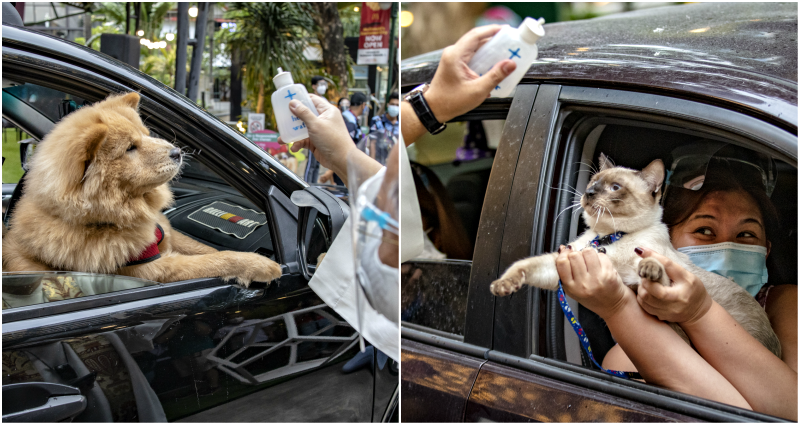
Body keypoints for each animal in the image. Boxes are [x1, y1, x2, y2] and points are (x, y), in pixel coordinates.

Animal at [2, 91, 282, 286]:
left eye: (147, 134)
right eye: (130, 148)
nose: (177, 152)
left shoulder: (167, 233)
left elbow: (206, 249)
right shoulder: (152, 268)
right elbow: (212, 261)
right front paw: (262, 265)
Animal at [488, 154, 780, 356]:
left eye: (615, 187)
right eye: (593, 183)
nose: (588, 193)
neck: (610, 237)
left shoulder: (658, 278)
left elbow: (651, 268)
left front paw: (649, 269)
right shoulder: (561, 263)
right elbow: (526, 265)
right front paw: (502, 285)